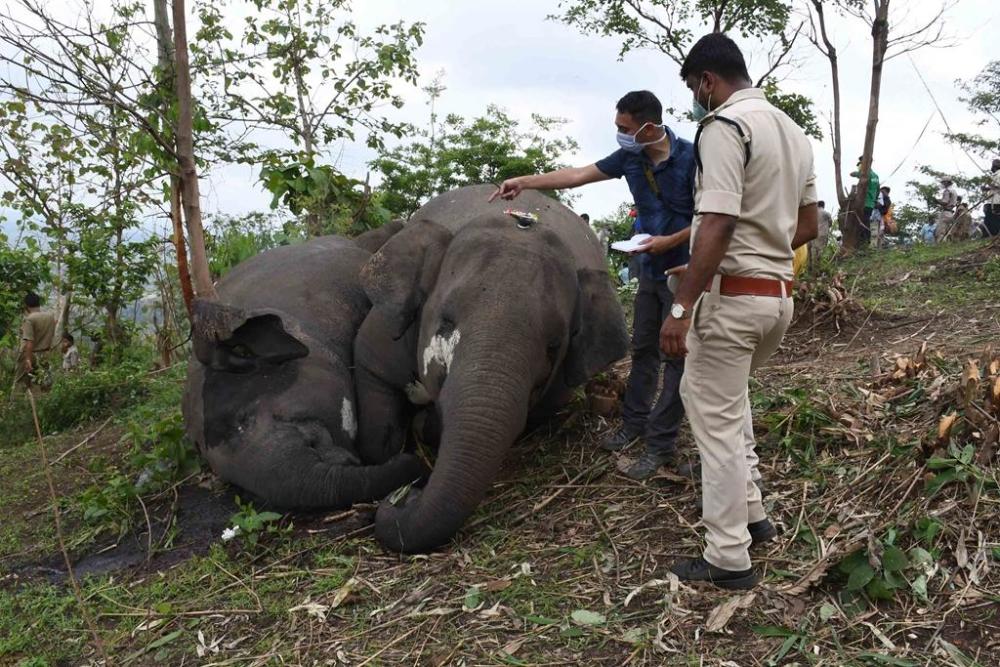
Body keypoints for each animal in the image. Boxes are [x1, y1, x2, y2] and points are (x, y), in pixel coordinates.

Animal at [354, 184, 629, 553]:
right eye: (445, 321)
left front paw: (425, 425)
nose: (405, 497)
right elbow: (372, 390)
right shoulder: (387, 330)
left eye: (554, 345)